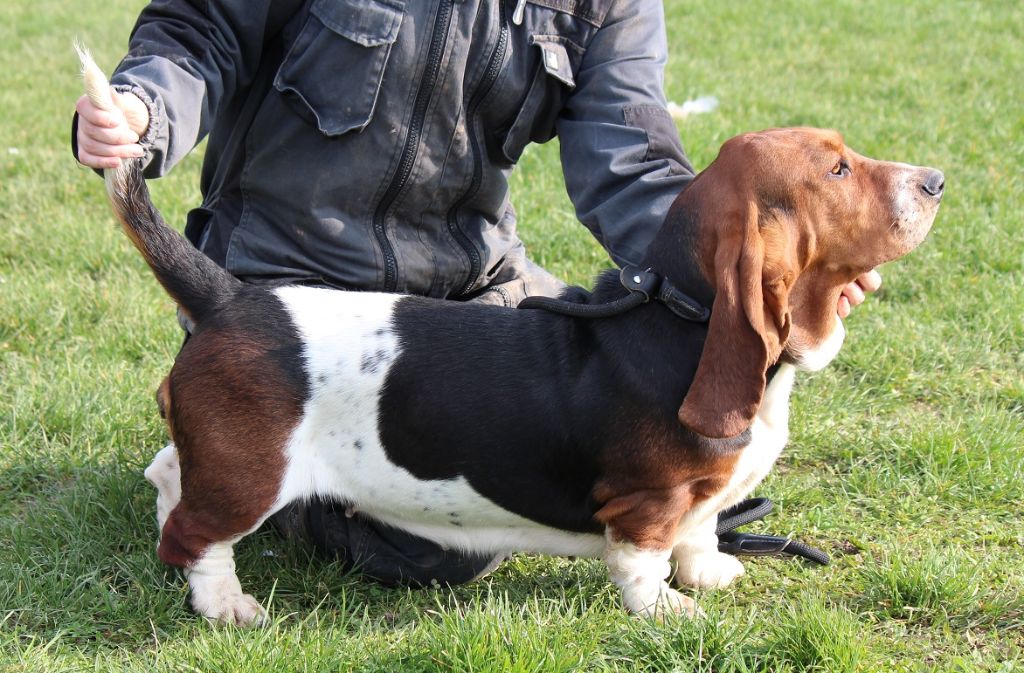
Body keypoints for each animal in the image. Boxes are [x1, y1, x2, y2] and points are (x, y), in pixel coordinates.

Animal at [79, 52, 942, 622]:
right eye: (837, 171)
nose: (935, 180)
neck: (684, 318)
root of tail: (229, 296)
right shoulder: (646, 501)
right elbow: (643, 557)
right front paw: (667, 608)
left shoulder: (699, 496)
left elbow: (699, 531)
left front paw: (711, 571)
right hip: (253, 474)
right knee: (195, 535)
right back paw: (227, 602)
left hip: (222, 460)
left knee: (167, 474)